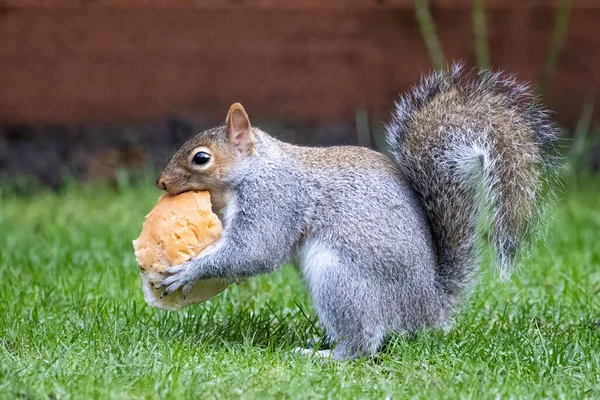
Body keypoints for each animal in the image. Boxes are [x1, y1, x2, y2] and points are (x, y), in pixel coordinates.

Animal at [155, 64, 556, 360]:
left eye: (201, 158)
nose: (160, 183)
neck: (257, 168)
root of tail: (427, 307)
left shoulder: (274, 200)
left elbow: (255, 251)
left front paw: (188, 271)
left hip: (341, 277)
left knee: (364, 342)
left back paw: (325, 355)